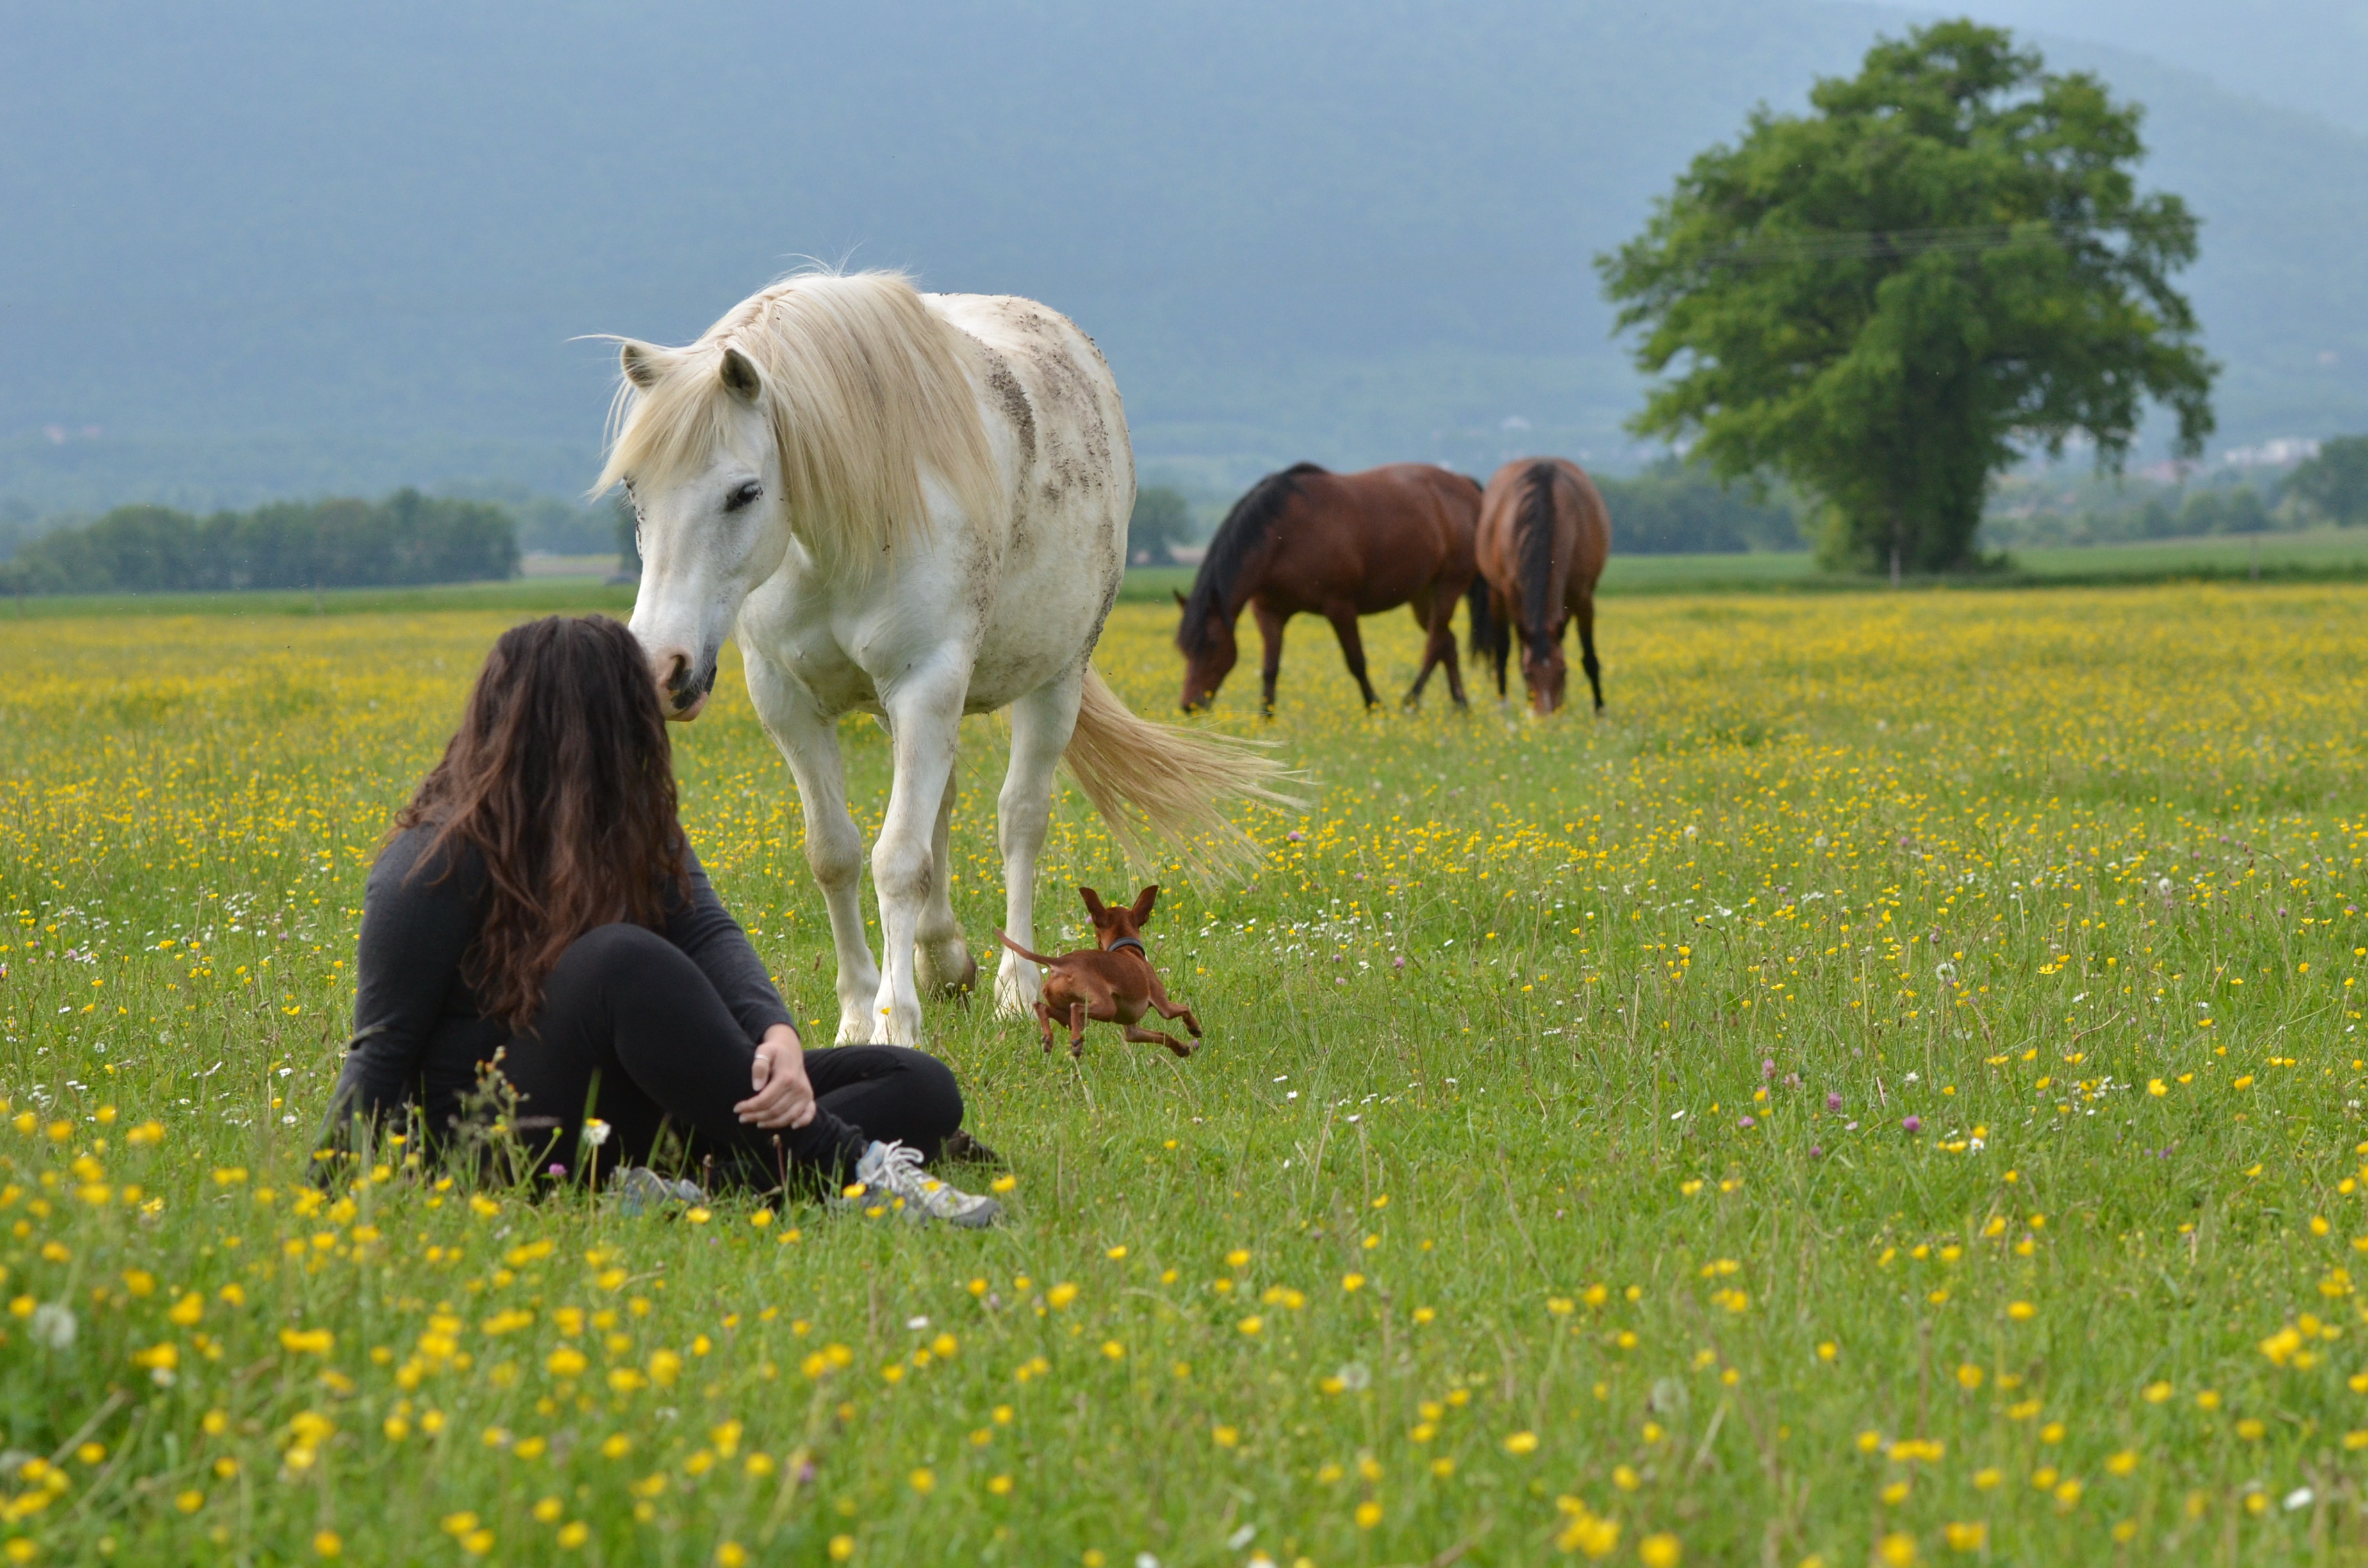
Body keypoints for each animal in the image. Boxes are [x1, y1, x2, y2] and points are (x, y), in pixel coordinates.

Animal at [601, 270, 1295, 1047]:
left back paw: (1014, 987)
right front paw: (856, 1016)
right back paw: (943, 963)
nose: (662, 667)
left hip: (1054, 680)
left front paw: (895, 1024)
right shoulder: (788, 700)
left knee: (1019, 819)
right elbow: (836, 855)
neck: (836, 534)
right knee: (942, 812)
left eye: (744, 492)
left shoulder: (925, 683)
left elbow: (900, 861)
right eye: (634, 489)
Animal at [1173, 462, 1481, 715]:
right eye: (1183, 648)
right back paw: (1461, 706)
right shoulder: (1269, 613)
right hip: (1422, 596)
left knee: (1434, 644)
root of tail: (1466, 485)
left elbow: (1356, 661)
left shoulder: (1340, 607)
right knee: (1447, 642)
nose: (1189, 705)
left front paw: (1374, 708)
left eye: (1212, 644)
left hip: (1448, 588)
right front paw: (1266, 718)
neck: (1282, 538)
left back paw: (1411, 702)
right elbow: (1270, 669)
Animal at [1470, 457, 1612, 714]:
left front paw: (1600, 712)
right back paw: (1505, 704)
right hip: (1497, 596)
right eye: (1528, 675)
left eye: (1563, 671)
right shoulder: (1512, 594)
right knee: (1504, 650)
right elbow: (1511, 652)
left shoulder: (1583, 597)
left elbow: (1589, 657)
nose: (1547, 715)